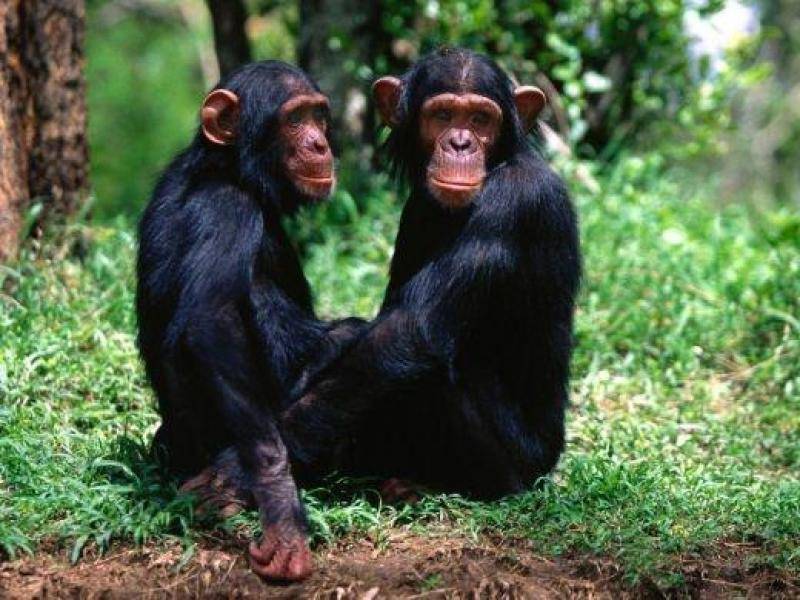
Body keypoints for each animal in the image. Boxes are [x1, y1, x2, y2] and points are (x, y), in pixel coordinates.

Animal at [137, 61, 362, 580]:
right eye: (294, 120)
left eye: (318, 117)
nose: (320, 144)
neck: (229, 171)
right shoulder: (226, 209)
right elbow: (212, 321)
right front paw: (279, 504)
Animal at [288, 47, 580, 500]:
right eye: (443, 115)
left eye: (480, 119)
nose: (460, 143)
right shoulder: (417, 207)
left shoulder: (513, 201)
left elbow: (411, 330)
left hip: (514, 470)